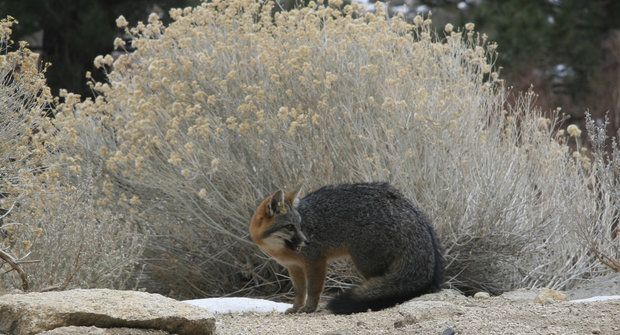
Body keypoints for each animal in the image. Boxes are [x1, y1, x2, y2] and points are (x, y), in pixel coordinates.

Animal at [249, 181, 444, 316]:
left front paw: (309, 308)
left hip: (365, 263)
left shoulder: (316, 261)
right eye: (290, 227)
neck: (278, 249)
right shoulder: (294, 267)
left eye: (300, 225)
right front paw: (296, 307)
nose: (307, 242)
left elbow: (313, 289)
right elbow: (299, 291)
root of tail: (409, 206)